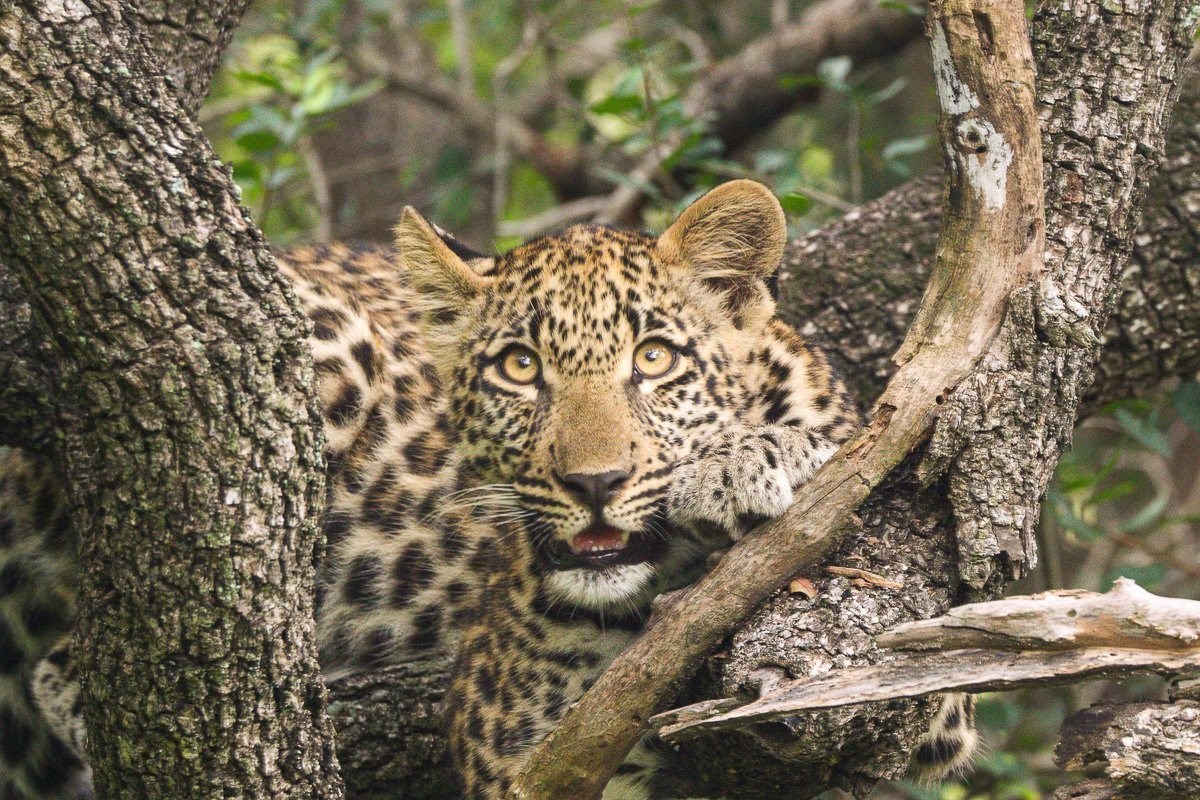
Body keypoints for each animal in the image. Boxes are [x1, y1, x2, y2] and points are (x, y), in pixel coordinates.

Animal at [0, 179, 976, 800]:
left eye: (654, 359)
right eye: (519, 368)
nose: (594, 482)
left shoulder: (927, 694)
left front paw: (751, 462)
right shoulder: (522, 740)